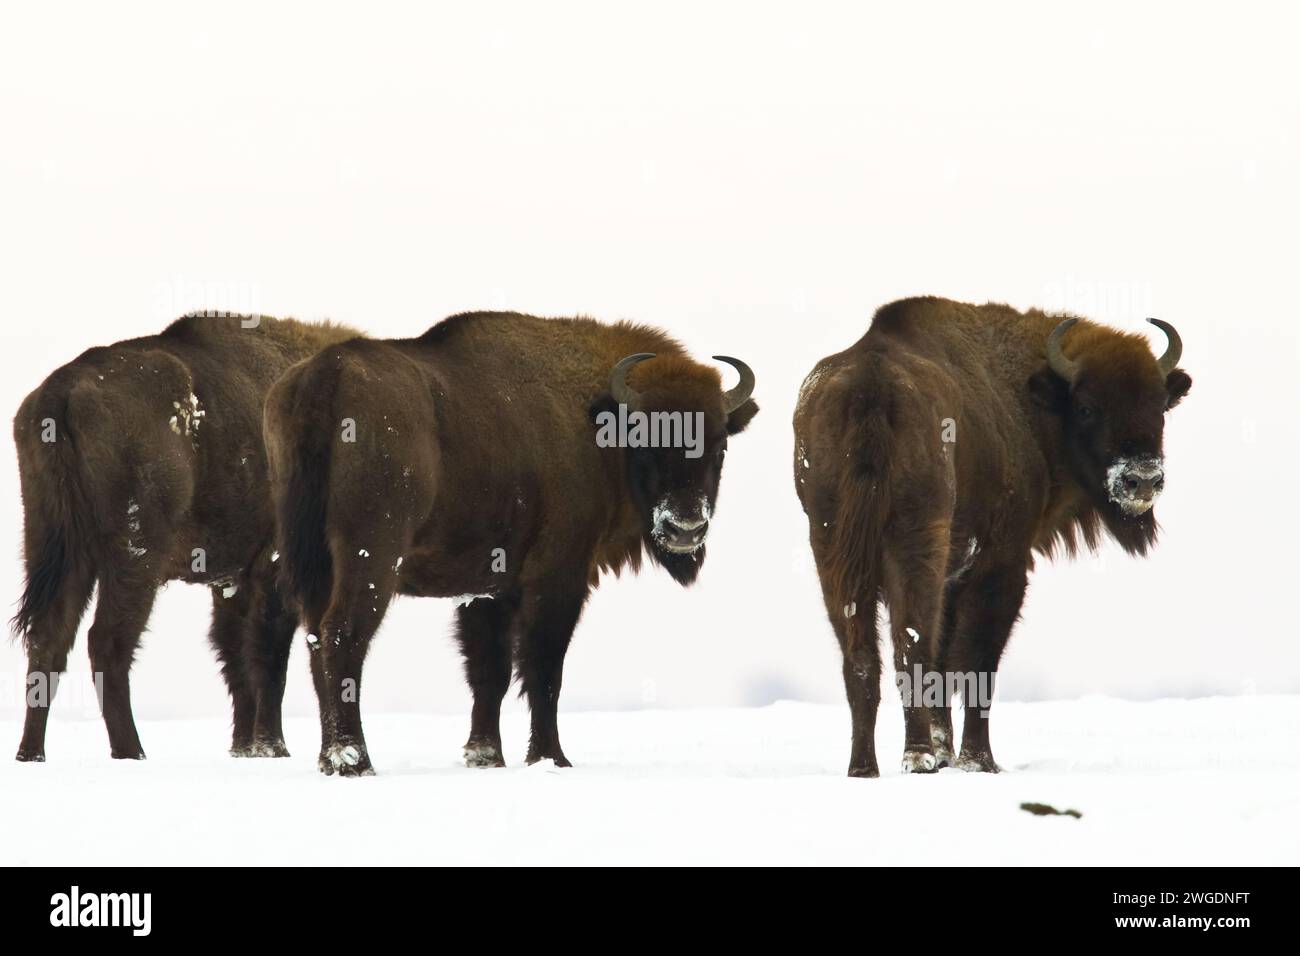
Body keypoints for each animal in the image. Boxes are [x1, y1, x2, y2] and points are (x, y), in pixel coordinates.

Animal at [13, 314, 361, 764]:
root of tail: (62, 392)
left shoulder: (231, 581)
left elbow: (235, 658)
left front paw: (243, 748)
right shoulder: (271, 569)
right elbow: (268, 660)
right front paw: (272, 748)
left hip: (52, 543)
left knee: (48, 641)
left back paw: (31, 754)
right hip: (135, 554)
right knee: (106, 641)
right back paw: (133, 752)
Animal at [260, 314, 759, 780]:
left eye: (719, 446)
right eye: (647, 444)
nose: (685, 528)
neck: (596, 422)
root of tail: (327, 376)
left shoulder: (486, 590)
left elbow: (490, 671)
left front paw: (485, 757)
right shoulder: (558, 577)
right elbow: (543, 667)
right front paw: (551, 758)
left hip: (315, 562)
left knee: (315, 640)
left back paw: (328, 759)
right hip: (372, 558)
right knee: (343, 634)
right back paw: (353, 760)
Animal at [790, 297, 1190, 780]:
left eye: (1160, 405)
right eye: (1087, 407)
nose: (1142, 479)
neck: (1029, 395)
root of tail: (872, 390)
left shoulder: (953, 577)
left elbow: (945, 661)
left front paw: (949, 754)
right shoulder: (1001, 566)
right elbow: (977, 660)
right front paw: (978, 762)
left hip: (834, 549)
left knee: (861, 653)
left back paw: (864, 768)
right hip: (914, 542)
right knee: (910, 642)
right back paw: (918, 759)